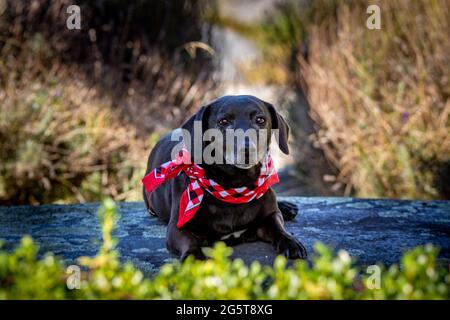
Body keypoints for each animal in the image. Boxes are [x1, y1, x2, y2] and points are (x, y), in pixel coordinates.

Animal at [142, 95, 308, 260]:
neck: (235, 186)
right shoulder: (177, 228)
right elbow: (189, 241)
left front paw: (290, 242)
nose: (248, 149)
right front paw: (193, 257)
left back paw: (286, 207)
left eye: (260, 120)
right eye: (223, 121)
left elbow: (278, 227)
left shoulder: (271, 215)